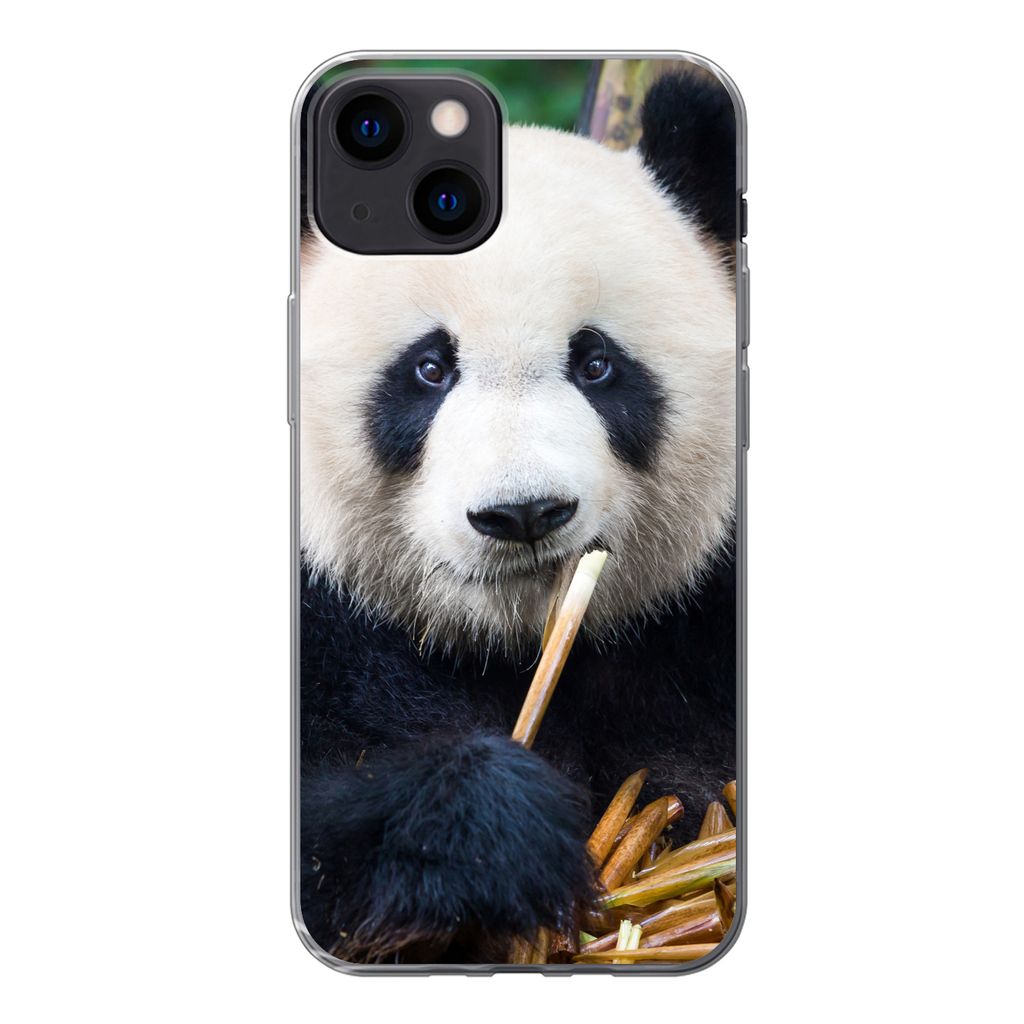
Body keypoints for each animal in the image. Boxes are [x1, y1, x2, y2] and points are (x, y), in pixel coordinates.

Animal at [298, 73, 739, 963]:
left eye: (597, 363)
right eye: (429, 369)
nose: (524, 513)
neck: (513, 646)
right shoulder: (324, 630)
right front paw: (494, 827)